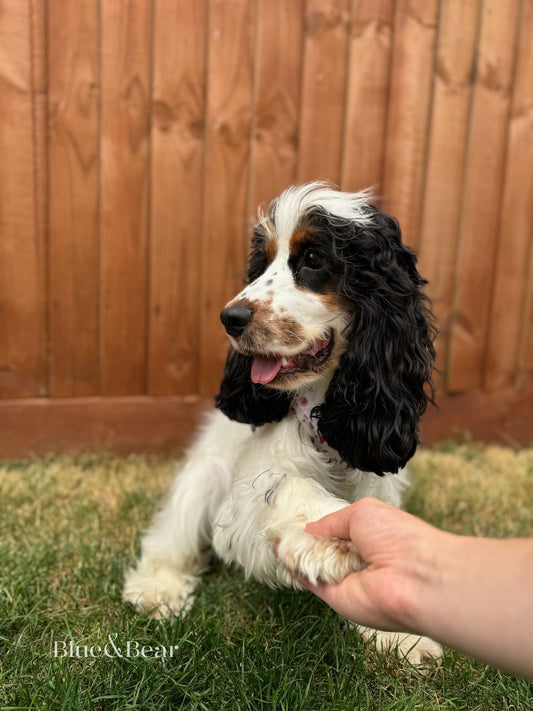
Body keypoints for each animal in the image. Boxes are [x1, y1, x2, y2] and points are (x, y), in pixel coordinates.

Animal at [124, 184, 440, 668]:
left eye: (313, 258)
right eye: (262, 263)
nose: (231, 318)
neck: (324, 408)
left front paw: (401, 635)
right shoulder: (241, 502)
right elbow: (286, 486)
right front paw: (331, 543)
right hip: (205, 472)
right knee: (170, 535)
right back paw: (158, 587)